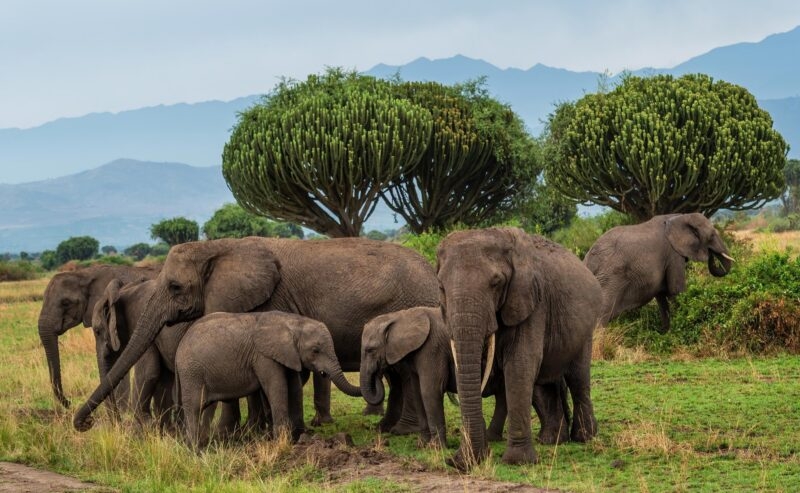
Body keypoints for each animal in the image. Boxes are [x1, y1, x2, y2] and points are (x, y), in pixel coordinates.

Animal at [74, 236, 439, 432]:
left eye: (175, 287)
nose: (84, 425)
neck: (218, 247)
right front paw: (252, 431)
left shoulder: (268, 300)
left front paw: (237, 433)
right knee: (396, 376)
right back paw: (388, 429)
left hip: (410, 305)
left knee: (405, 374)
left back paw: (400, 431)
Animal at [175, 311, 361, 448]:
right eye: (315, 350)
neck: (292, 322)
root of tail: (179, 348)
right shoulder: (263, 357)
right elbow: (277, 387)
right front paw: (283, 441)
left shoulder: (288, 354)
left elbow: (294, 388)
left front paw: (300, 436)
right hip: (191, 373)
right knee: (194, 407)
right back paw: (195, 449)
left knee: (204, 406)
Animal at [437, 227, 603, 469]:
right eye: (441, 287)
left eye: (496, 282)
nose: (453, 461)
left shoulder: (532, 301)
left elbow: (519, 365)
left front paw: (517, 462)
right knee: (544, 385)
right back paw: (552, 441)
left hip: (585, 328)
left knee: (578, 378)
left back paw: (584, 438)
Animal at [584, 213, 734, 333]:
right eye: (712, 235)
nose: (711, 254)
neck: (680, 216)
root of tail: (589, 259)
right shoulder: (673, 255)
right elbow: (676, 290)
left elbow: (661, 297)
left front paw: (665, 333)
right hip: (610, 279)